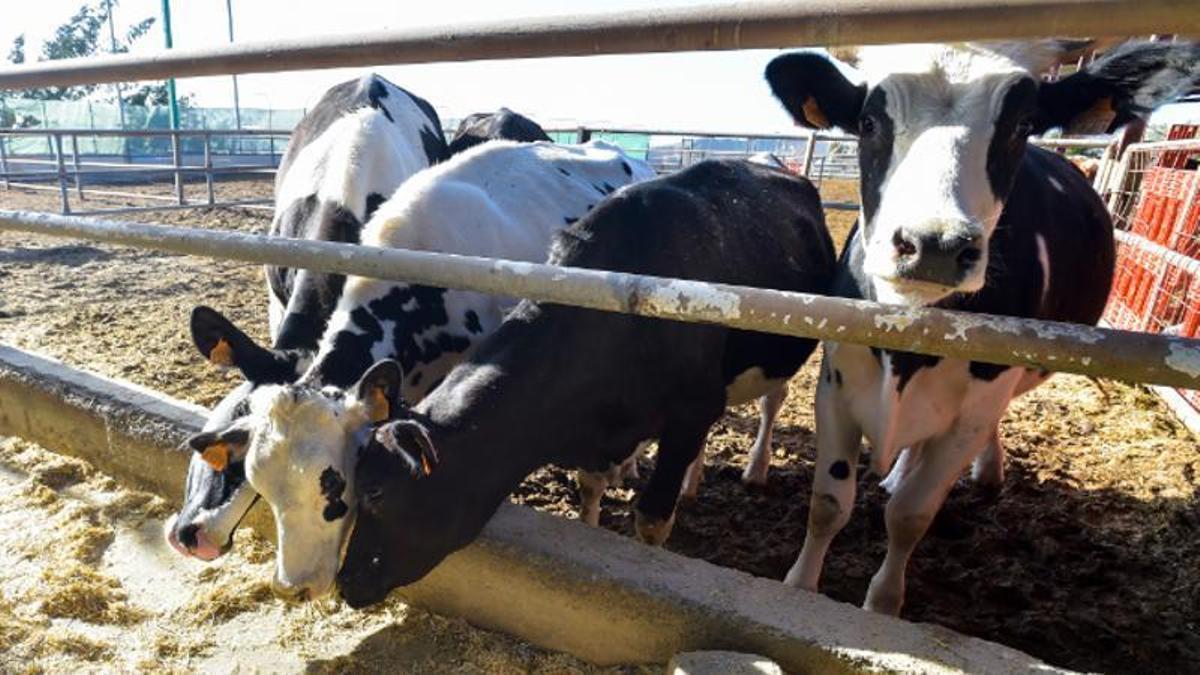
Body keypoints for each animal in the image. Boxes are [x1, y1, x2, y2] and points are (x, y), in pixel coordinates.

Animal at [335, 159, 837, 609]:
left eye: (376, 492)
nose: (345, 582)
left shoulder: (689, 411)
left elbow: (652, 521)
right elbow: (590, 489)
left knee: (773, 400)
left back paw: (755, 467)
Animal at [764, 40, 1200, 615]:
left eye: (1022, 125)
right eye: (869, 122)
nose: (934, 245)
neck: (907, 347)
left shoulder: (973, 411)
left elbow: (911, 515)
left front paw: (882, 605)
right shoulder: (835, 383)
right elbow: (829, 503)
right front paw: (798, 588)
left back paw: (983, 471)